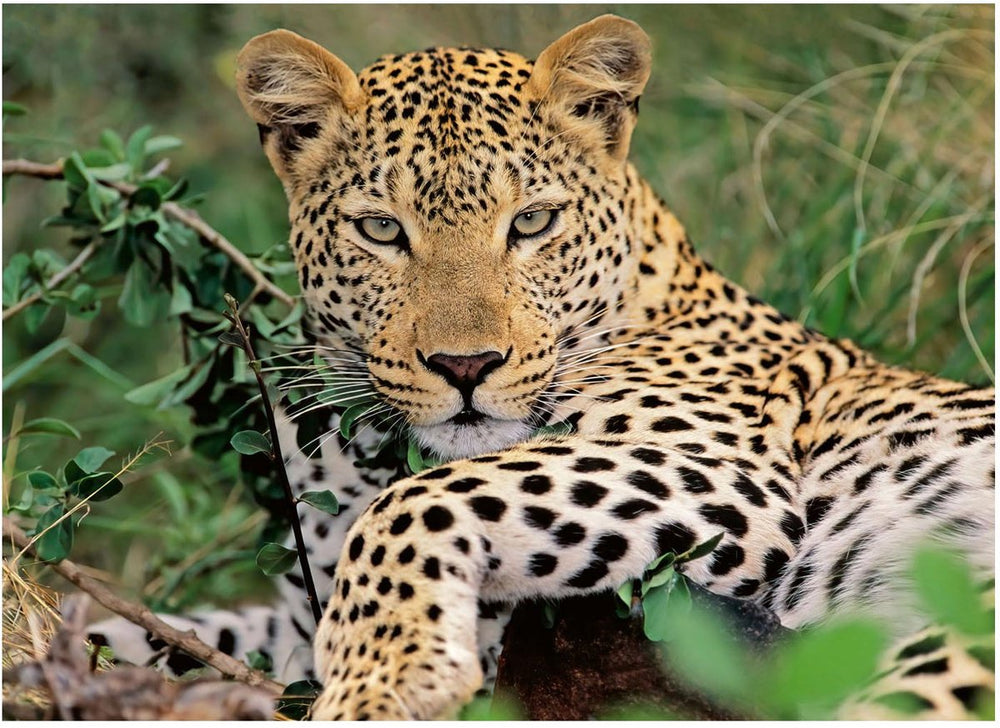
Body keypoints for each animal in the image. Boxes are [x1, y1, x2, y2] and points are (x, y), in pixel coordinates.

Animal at [89, 14, 995, 721]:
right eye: (381, 230)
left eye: (531, 222)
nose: (465, 366)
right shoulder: (296, 608)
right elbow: (176, 629)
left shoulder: (723, 473)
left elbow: (418, 501)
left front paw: (384, 680)